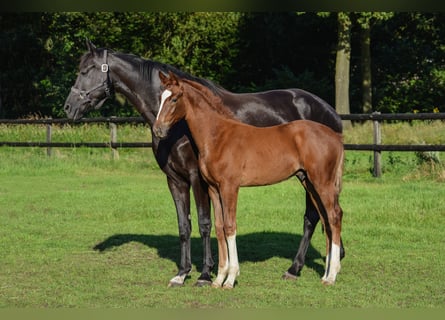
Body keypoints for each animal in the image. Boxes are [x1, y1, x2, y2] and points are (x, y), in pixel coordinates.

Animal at [64, 40, 346, 288]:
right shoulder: (175, 179)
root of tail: (332, 116)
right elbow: (186, 226)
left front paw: (206, 275)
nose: (68, 108)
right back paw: (317, 268)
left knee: (321, 216)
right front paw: (182, 273)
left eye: (86, 70)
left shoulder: (199, 179)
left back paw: (306, 270)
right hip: (307, 178)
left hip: (316, 179)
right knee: (321, 216)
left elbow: (206, 224)